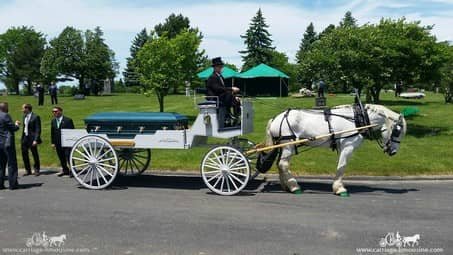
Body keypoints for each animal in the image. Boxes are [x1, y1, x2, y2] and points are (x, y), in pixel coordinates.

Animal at [264, 103, 406, 195]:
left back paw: (286, 186)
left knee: (280, 164)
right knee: (283, 164)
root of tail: (275, 118)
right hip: (288, 145)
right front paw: (339, 188)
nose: (393, 152)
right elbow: (342, 166)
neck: (358, 119)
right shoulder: (347, 146)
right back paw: (294, 186)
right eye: (397, 132)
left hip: (284, 146)